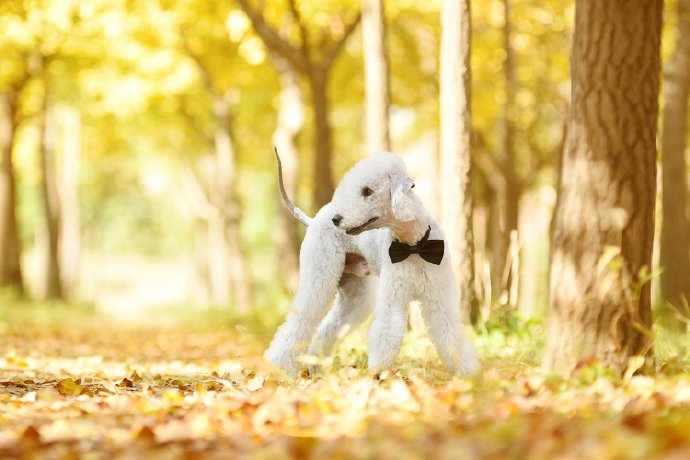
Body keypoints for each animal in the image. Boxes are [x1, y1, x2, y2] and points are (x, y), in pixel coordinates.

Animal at [264, 151, 478, 378]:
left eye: (367, 191)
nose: (337, 219)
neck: (415, 245)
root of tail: (314, 220)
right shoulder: (393, 298)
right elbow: (386, 333)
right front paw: (379, 375)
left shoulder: (439, 299)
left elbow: (451, 333)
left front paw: (469, 375)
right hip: (319, 275)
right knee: (300, 320)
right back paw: (280, 368)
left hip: (355, 294)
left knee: (327, 328)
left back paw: (317, 369)